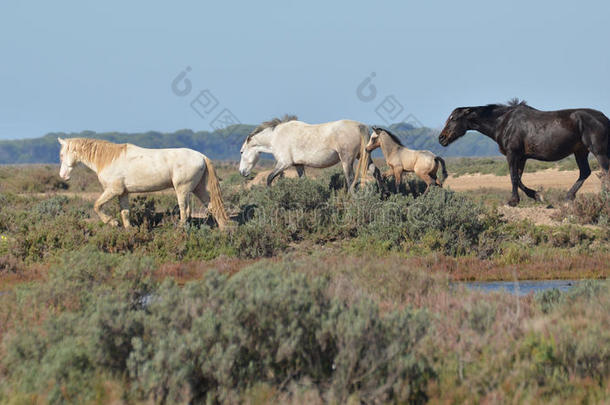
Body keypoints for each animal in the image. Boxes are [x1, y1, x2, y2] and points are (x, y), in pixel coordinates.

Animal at [56, 138, 228, 227]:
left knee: (184, 211)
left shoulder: (113, 190)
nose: (63, 176)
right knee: (213, 207)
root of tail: (202, 156)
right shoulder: (123, 193)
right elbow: (125, 213)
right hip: (199, 189)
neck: (108, 159)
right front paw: (128, 231)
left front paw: (112, 222)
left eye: (62, 154)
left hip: (182, 190)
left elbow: (96, 205)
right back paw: (224, 231)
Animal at [238, 114, 376, 189]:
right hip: (363, 156)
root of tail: (360, 126)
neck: (275, 137)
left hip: (347, 160)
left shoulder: (284, 163)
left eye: (241, 152)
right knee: (376, 172)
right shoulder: (298, 165)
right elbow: (303, 181)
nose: (242, 172)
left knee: (351, 179)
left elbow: (269, 178)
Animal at [440, 98, 604, 205]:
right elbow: (518, 178)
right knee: (585, 172)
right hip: (580, 152)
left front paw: (513, 201)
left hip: (598, 152)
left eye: (453, 118)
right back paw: (568, 197)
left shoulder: (512, 154)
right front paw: (537, 195)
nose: (442, 138)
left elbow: (513, 177)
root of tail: (604, 119)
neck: (504, 122)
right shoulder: (522, 157)